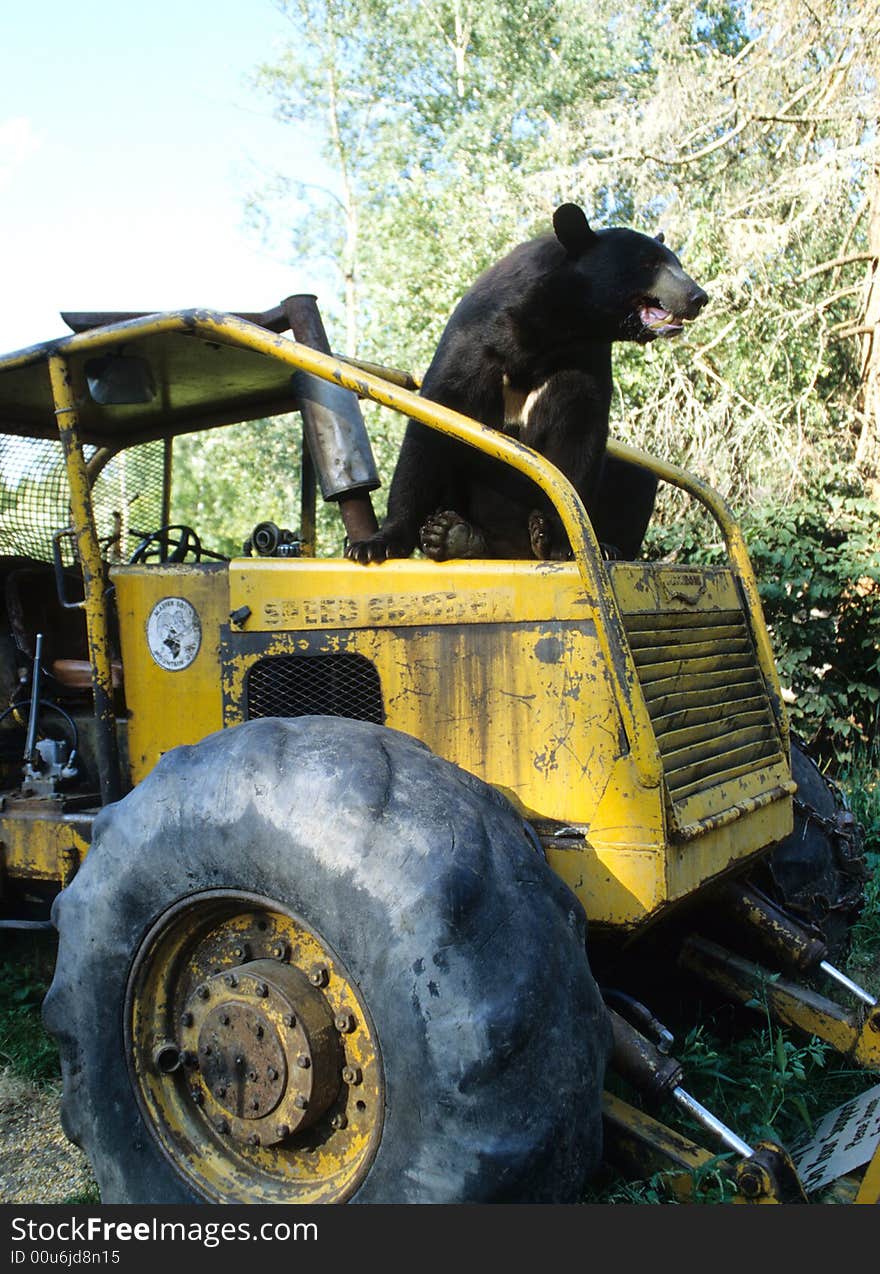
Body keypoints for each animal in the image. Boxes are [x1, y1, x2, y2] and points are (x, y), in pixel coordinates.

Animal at [348, 203, 708, 563]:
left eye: (677, 263)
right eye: (649, 263)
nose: (698, 297)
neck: (548, 329)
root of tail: (510, 551)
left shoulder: (582, 360)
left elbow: (578, 436)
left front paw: (564, 543)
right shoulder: (470, 344)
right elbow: (431, 429)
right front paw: (377, 543)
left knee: (638, 479)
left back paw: (593, 546)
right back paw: (453, 535)